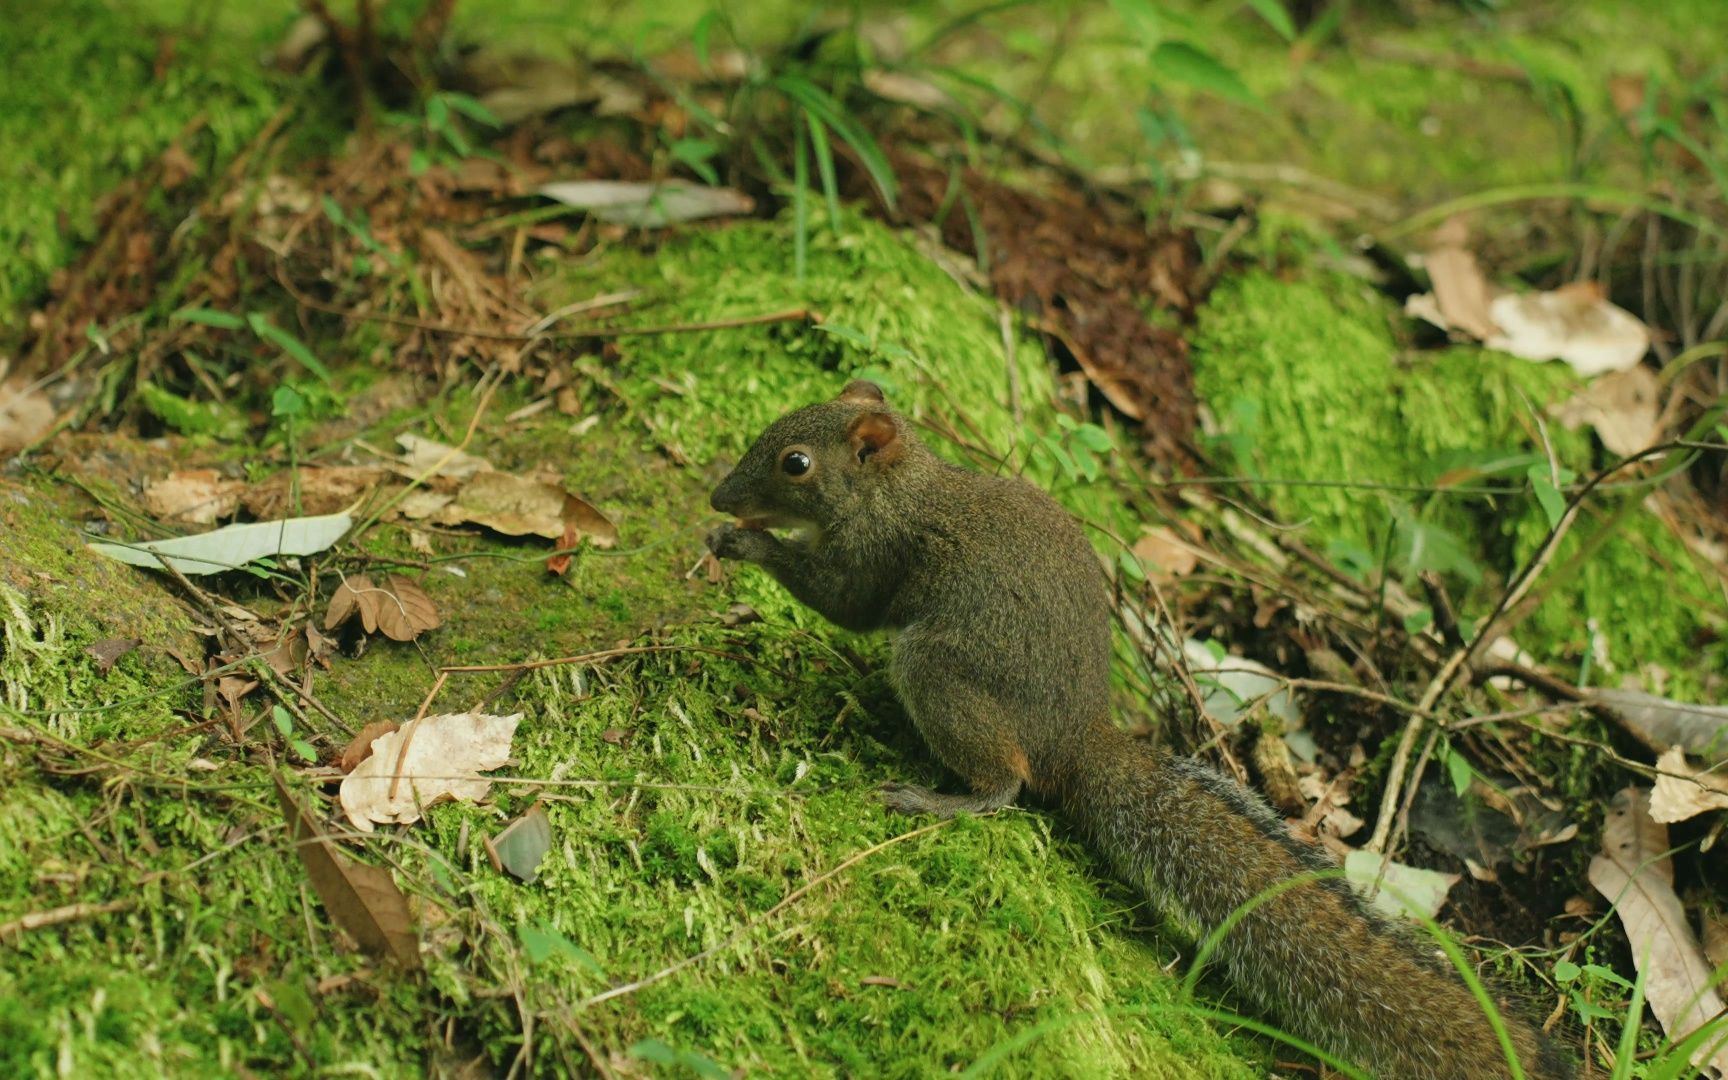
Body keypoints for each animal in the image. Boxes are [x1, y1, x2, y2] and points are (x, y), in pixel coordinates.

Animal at [708, 381, 1575, 1078]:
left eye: (794, 463)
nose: (719, 498)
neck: (900, 489)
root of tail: (1077, 741)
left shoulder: (875, 553)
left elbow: (842, 600)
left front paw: (748, 544)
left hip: (939, 674)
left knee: (1007, 783)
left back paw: (940, 797)